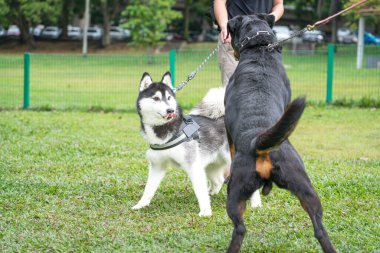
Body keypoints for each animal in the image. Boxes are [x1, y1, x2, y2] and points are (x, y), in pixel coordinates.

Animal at [223, 14, 336, 253]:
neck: (260, 50)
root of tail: (258, 141)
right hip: (304, 186)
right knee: (320, 228)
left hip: (235, 191)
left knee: (240, 228)